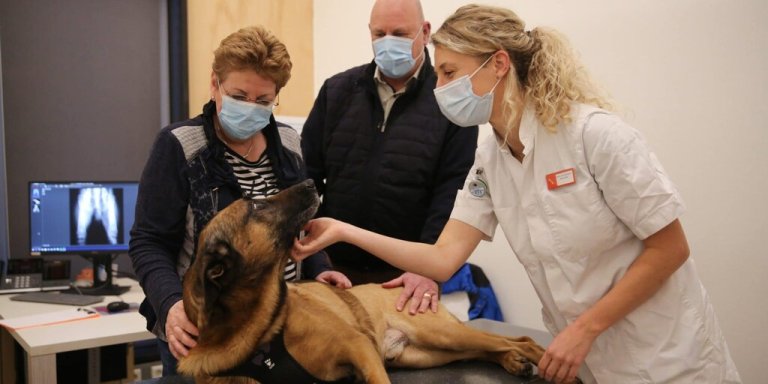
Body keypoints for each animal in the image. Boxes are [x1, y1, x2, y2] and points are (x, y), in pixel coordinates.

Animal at [177, 180, 544, 384]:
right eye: (256, 204)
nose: (311, 182)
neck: (260, 332)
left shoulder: (358, 346)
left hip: (439, 334)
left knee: (518, 340)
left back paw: (538, 357)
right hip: (429, 353)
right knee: (492, 347)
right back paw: (515, 362)